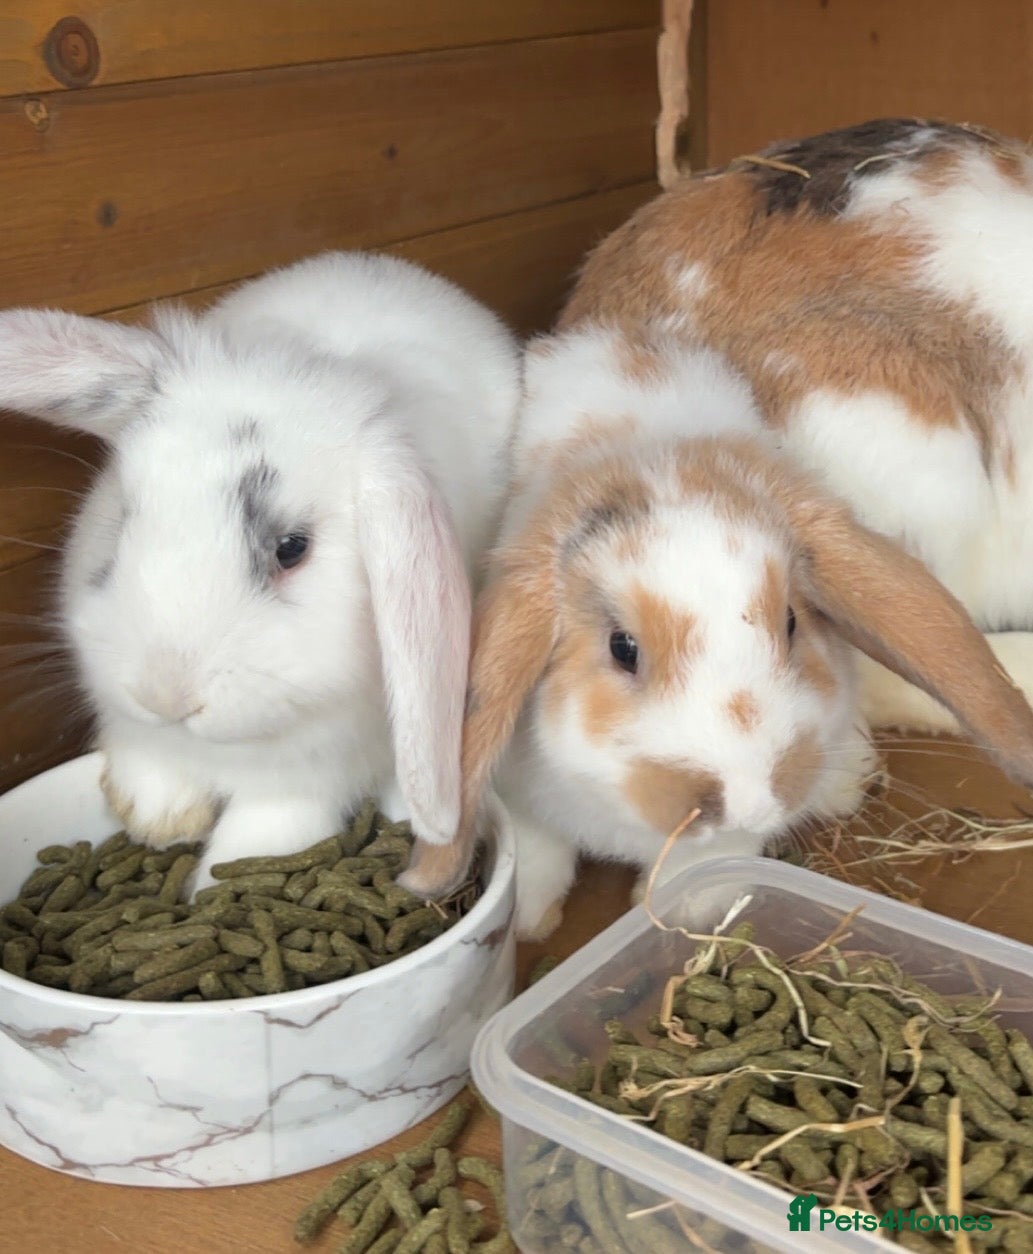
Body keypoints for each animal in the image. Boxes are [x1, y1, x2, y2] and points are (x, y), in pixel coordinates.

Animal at [0, 251, 521, 889]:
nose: (165, 695)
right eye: (121, 517)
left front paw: (211, 883)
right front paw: (158, 820)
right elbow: (151, 759)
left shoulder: (314, 774)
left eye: (292, 549)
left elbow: (265, 829)